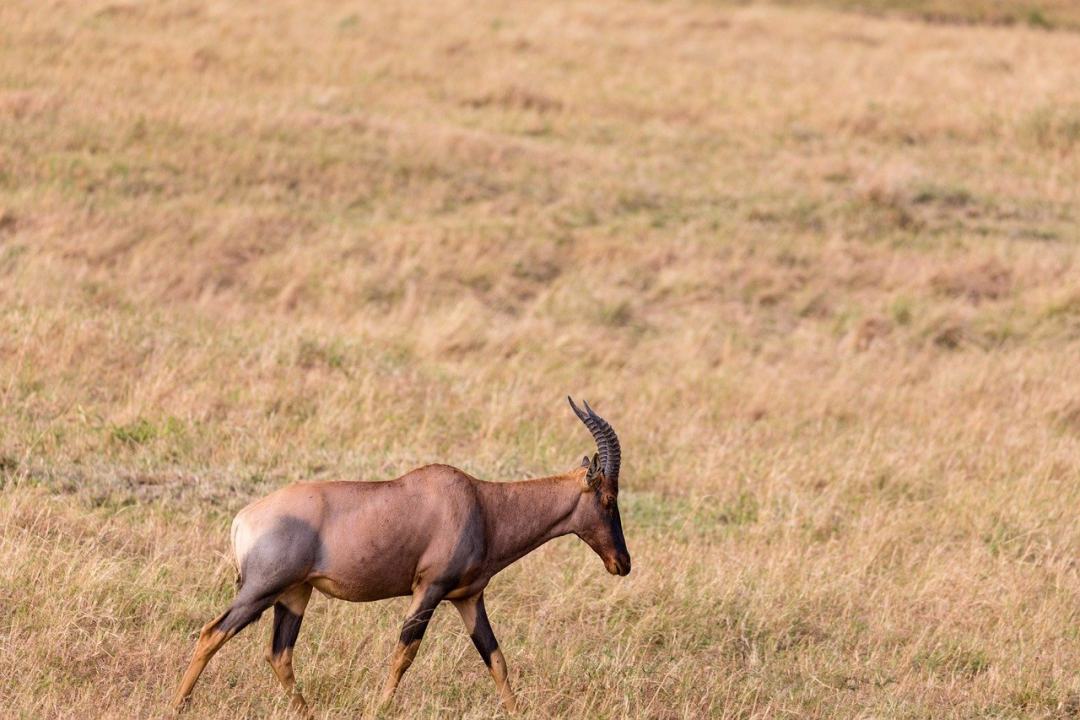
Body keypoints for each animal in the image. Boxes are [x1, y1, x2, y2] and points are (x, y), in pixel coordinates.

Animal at [171, 397, 630, 716]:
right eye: (608, 499)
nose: (622, 563)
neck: (480, 502)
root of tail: (243, 518)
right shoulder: (428, 590)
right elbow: (404, 653)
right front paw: (379, 709)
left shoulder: (468, 598)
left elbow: (496, 659)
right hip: (260, 590)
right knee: (212, 633)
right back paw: (177, 705)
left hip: (295, 595)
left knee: (279, 654)